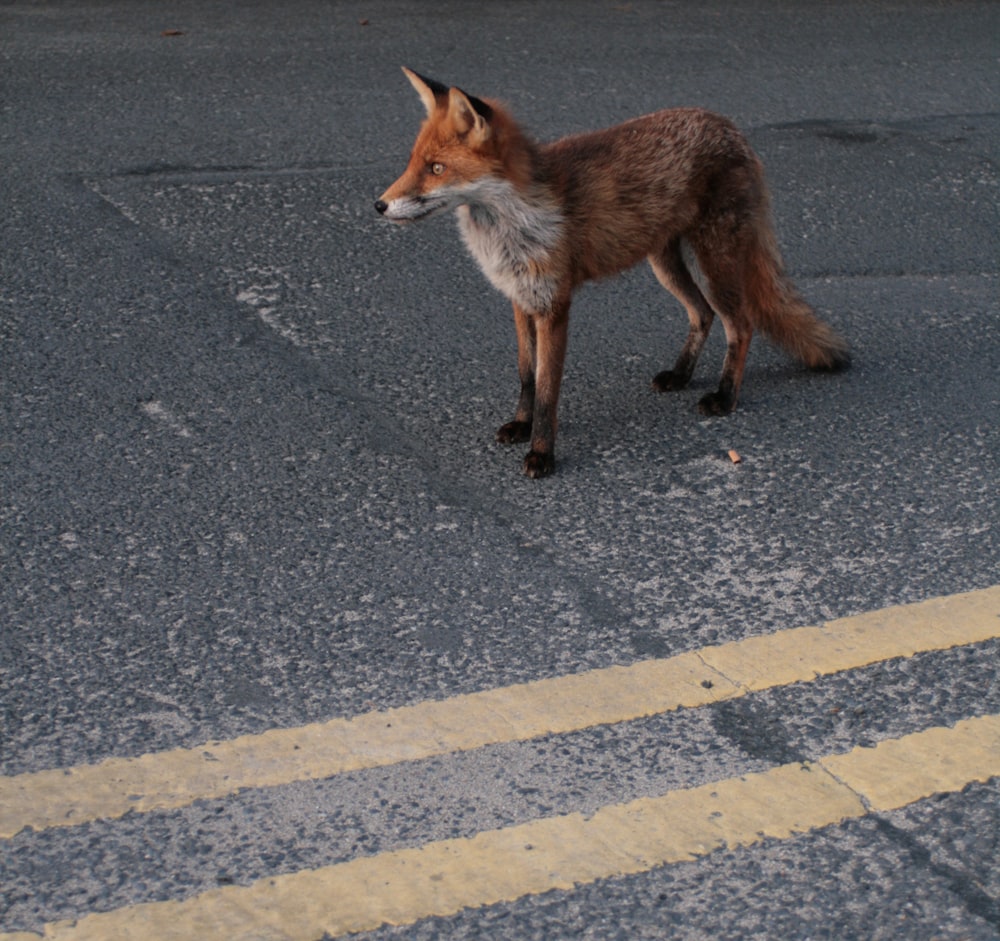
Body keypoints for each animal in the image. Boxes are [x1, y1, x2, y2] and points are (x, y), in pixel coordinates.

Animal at [378, 67, 848, 478]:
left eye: (437, 168)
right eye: (413, 162)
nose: (379, 205)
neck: (513, 225)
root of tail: (731, 127)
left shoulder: (555, 304)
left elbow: (547, 391)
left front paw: (542, 454)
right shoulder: (520, 299)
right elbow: (526, 377)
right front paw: (521, 426)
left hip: (714, 262)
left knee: (741, 325)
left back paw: (724, 396)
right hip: (665, 265)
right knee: (702, 314)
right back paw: (681, 376)